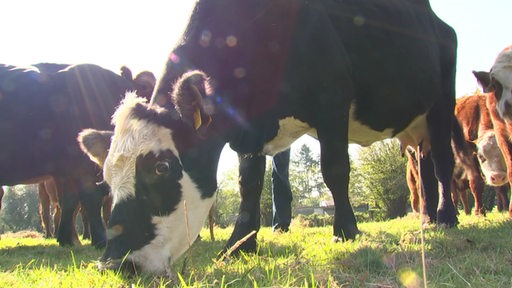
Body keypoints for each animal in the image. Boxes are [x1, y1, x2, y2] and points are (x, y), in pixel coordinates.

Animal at [80, 0, 460, 274]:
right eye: (107, 179)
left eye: (161, 167)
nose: (115, 264)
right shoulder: (248, 129)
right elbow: (249, 185)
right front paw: (238, 245)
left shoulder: (332, 100)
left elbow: (335, 170)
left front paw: (346, 231)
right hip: (417, 126)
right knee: (424, 165)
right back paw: (429, 218)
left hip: (442, 102)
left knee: (443, 161)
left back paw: (447, 217)